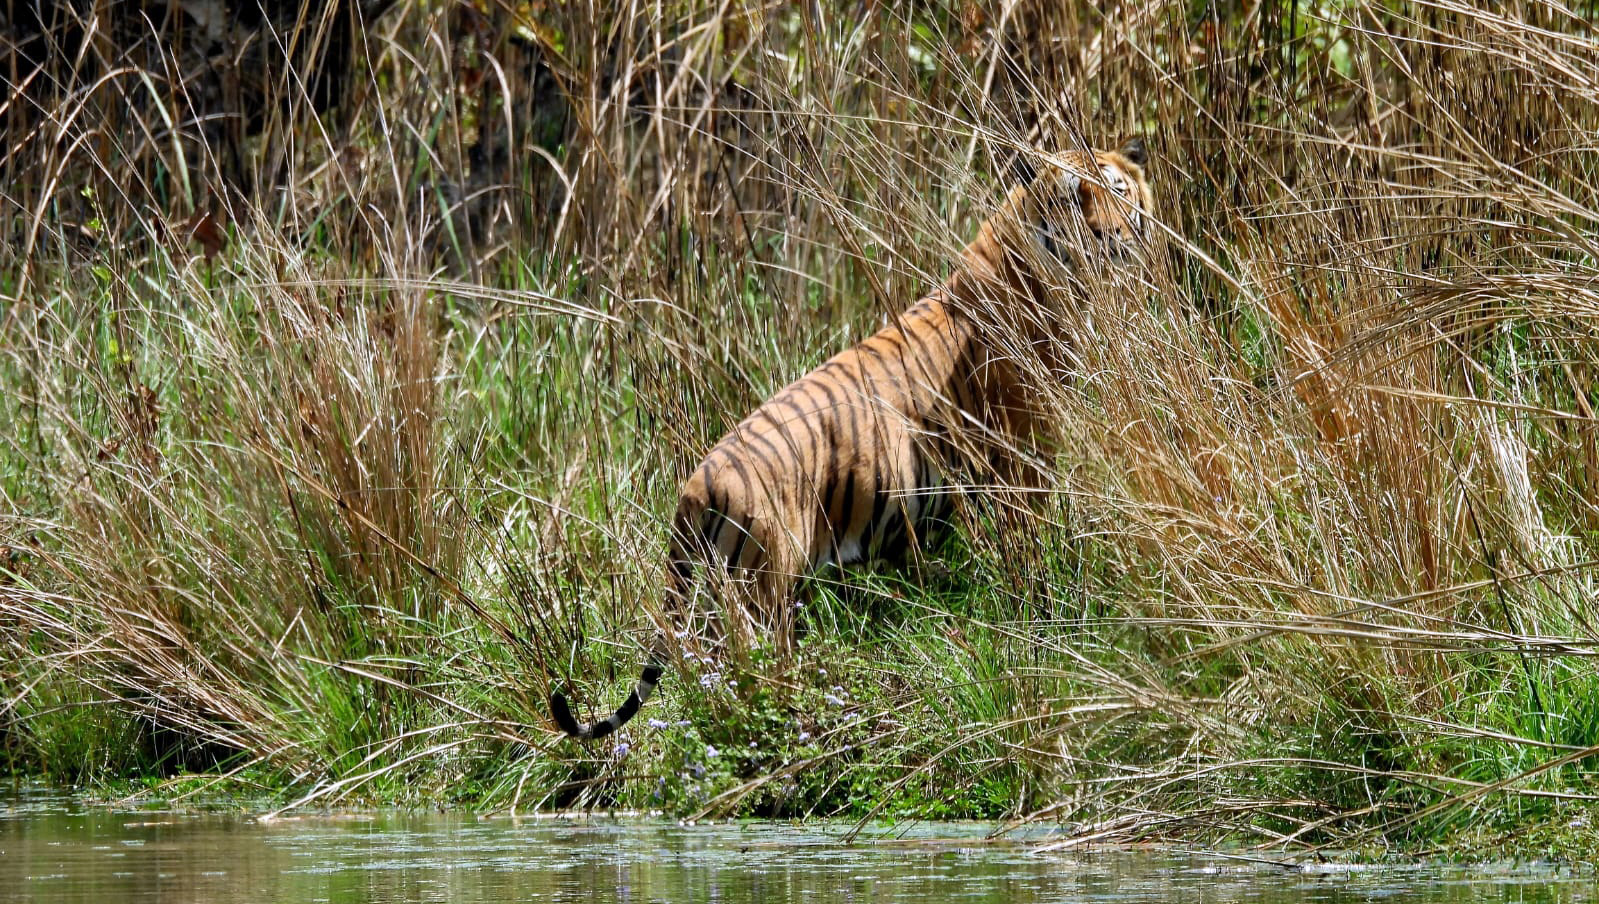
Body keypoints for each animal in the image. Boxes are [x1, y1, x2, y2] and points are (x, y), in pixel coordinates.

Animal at [552, 139, 1153, 740]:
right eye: (1073, 198)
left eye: (1118, 190)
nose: (1114, 235)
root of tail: (697, 484)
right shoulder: (1025, 458)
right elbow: (1034, 547)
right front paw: (1046, 602)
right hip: (759, 598)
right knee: (741, 681)